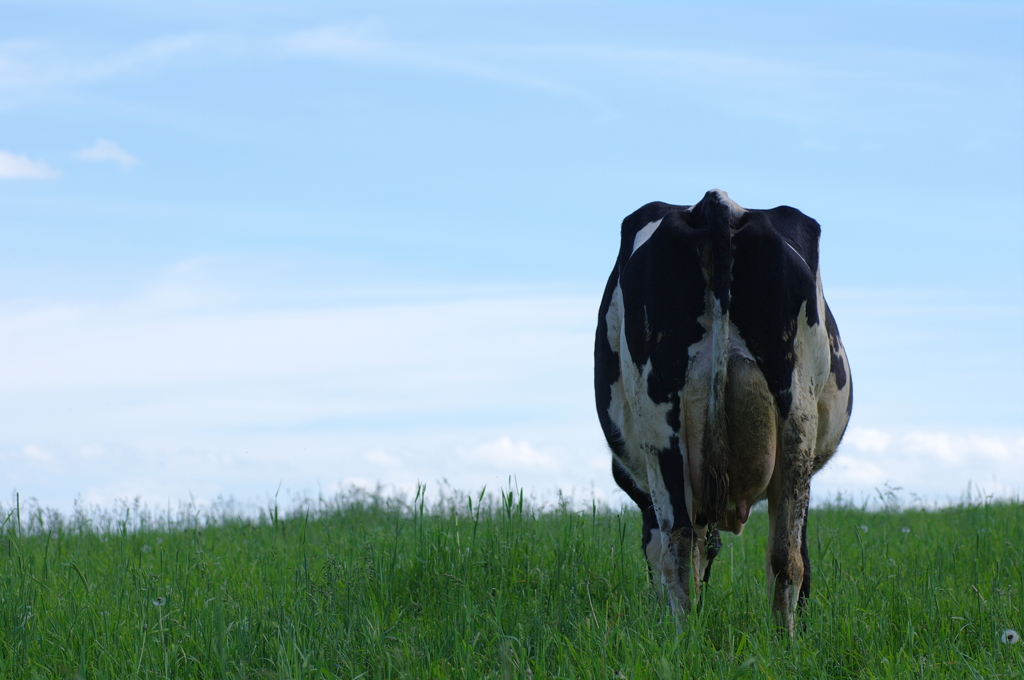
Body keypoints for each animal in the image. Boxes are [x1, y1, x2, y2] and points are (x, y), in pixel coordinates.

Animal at [598, 188, 851, 634]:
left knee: (683, 543)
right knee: (781, 554)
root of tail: (715, 202)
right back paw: (777, 640)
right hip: (793, 416)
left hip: (664, 420)